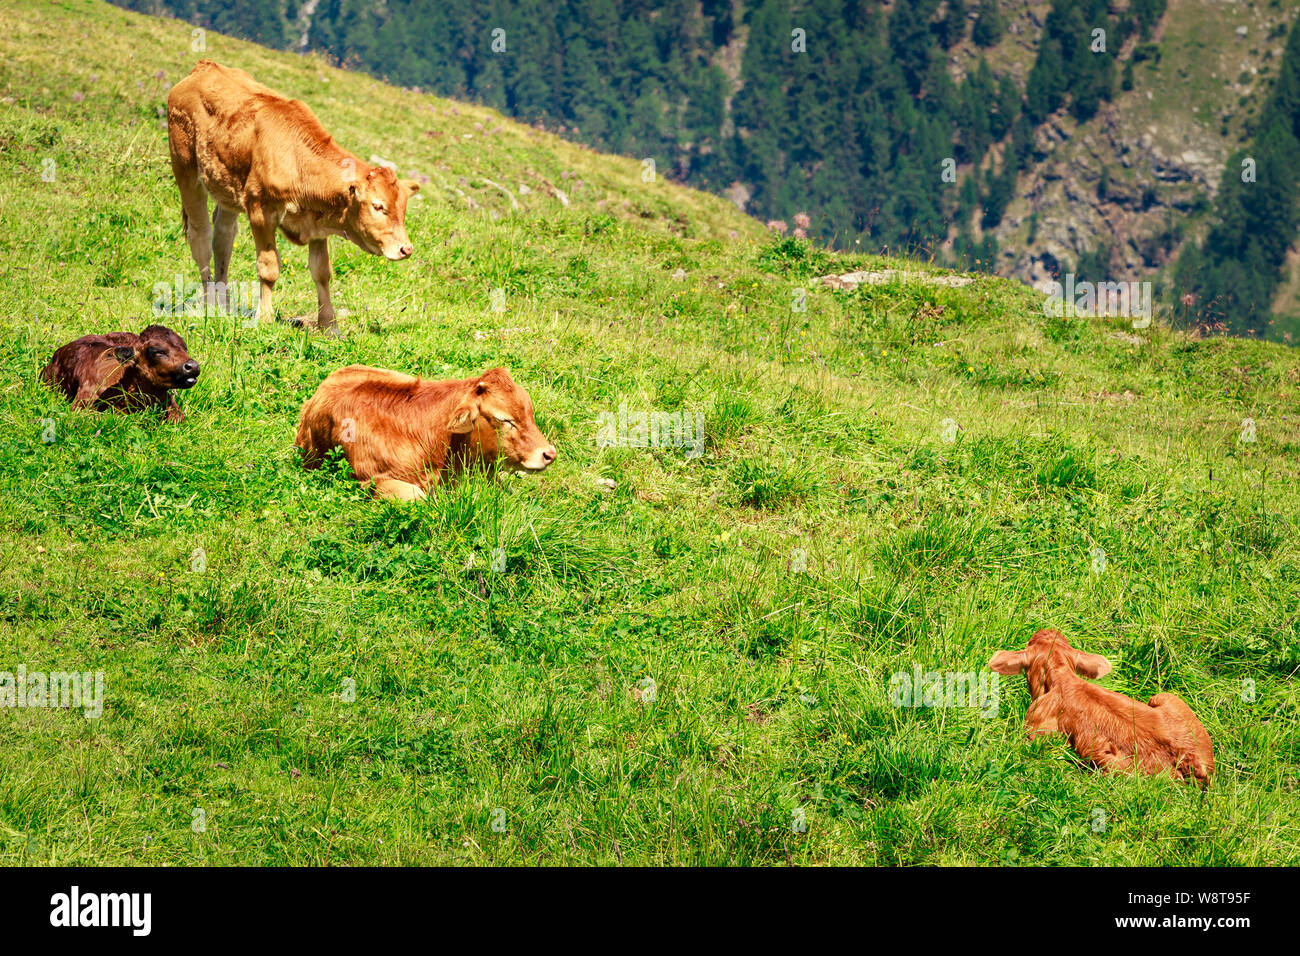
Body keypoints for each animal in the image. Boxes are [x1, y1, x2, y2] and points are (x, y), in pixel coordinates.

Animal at [166, 60, 419, 332]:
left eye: (403, 209)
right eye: (378, 206)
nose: (406, 249)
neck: (297, 160)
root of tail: (205, 66)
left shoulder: (317, 223)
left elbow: (322, 272)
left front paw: (329, 325)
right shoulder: (261, 212)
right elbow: (269, 268)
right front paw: (265, 317)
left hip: (227, 189)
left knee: (223, 239)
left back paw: (224, 306)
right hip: (185, 169)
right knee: (200, 234)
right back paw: (209, 304)